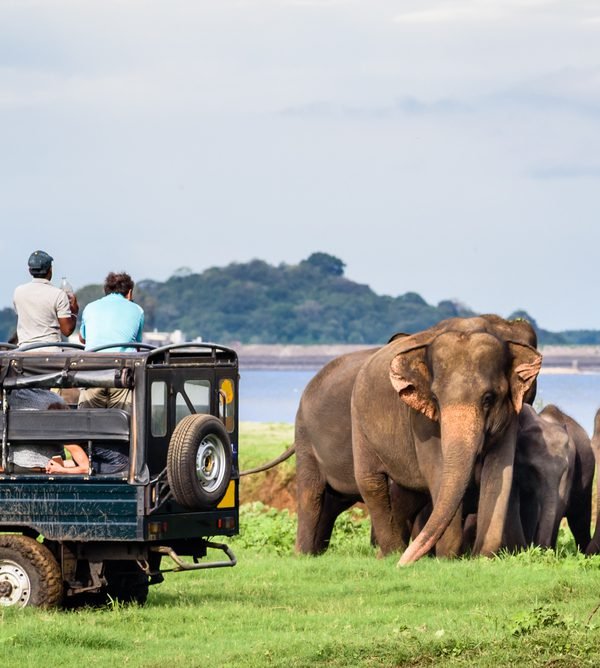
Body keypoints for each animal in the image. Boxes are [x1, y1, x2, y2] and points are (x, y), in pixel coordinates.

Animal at [294, 315, 541, 564]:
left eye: (488, 398)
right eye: (435, 398)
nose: (403, 565)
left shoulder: (510, 415)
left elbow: (499, 474)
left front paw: (482, 557)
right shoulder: (421, 421)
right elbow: (438, 472)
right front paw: (447, 559)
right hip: (345, 425)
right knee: (358, 484)